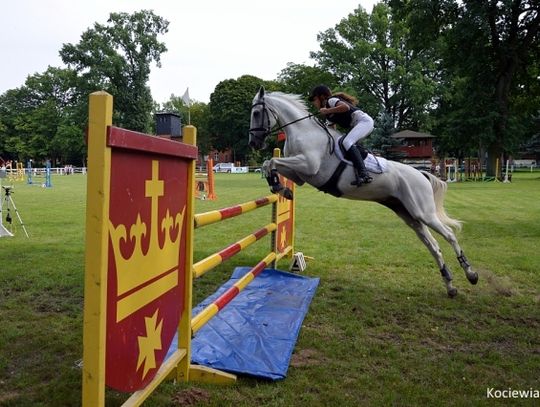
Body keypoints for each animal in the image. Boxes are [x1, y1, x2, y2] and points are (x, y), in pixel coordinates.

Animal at [249, 87, 476, 296]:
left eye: (256, 113)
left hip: (423, 212)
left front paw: (278, 186)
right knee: (433, 245)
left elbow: (271, 161)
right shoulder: (300, 176)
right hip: (408, 214)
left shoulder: (308, 165)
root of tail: (421, 174)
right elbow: (269, 164)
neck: (303, 132)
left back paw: (471, 274)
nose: (254, 143)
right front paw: (281, 189)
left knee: (449, 235)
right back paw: (450, 285)